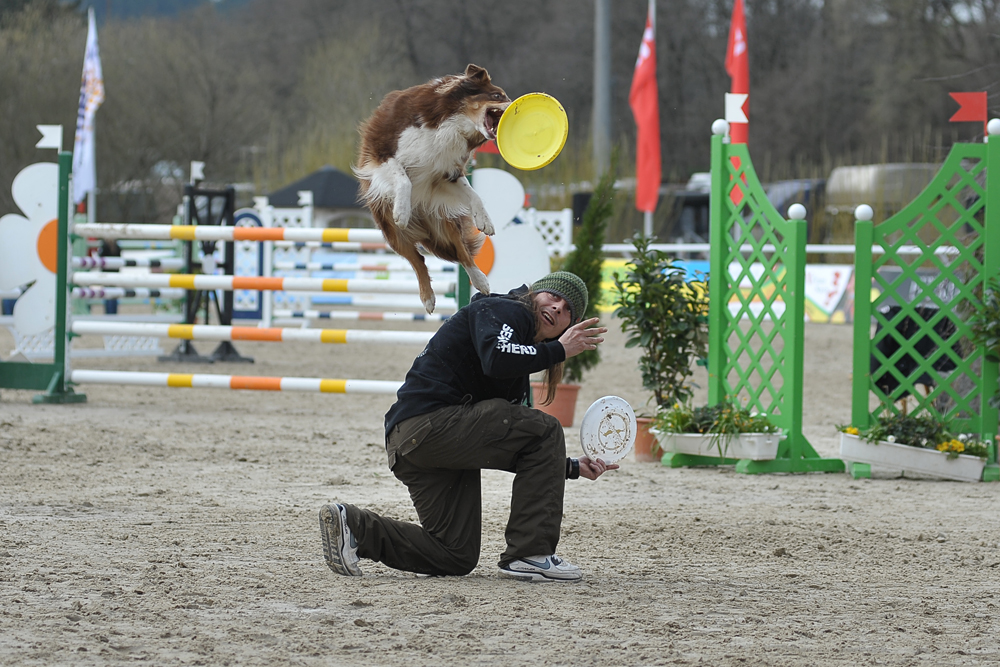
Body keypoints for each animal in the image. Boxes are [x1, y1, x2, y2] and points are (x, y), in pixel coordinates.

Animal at [356, 62, 512, 314]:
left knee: (462, 252)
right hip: (391, 231)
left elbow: (474, 195)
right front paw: (402, 210)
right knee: (417, 260)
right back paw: (428, 297)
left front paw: (485, 220)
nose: (517, 104)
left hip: (444, 219)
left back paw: (480, 280)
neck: (451, 121)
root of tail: (423, 228)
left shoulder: (446, 174)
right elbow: (404, 179)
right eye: (498, 96)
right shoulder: (380, 153)